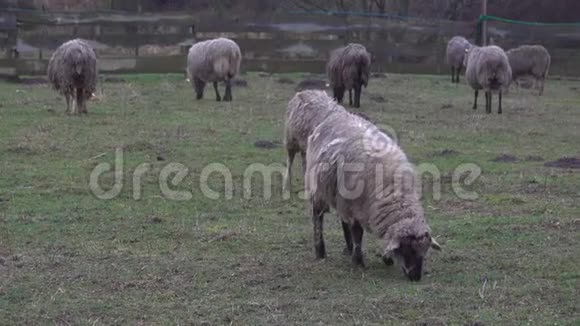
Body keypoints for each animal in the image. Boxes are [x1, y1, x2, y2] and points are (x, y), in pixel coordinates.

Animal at [306, 109, 442, 280]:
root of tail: (335, 115)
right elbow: (358, 234)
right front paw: (358, 262)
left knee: (343, 220)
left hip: (341, 197)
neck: (393, 190)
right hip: (319, 189)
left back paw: (348, 248)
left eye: (424, 253)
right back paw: (320, 251)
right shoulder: (356, 208)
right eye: (407, 250)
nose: (415, 277)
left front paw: (386, 257)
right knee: (318, 217)